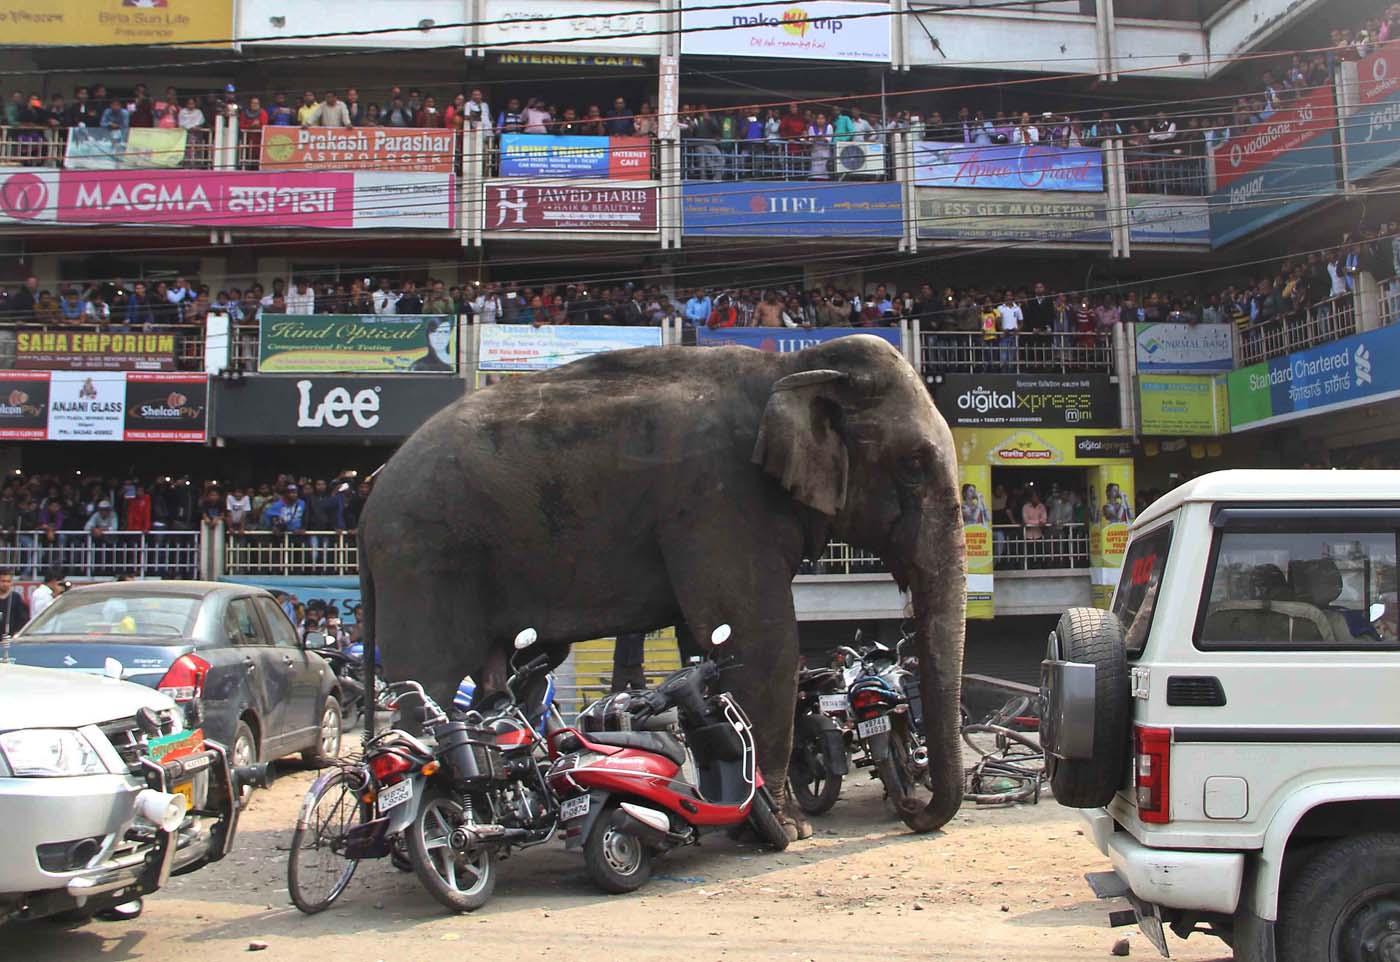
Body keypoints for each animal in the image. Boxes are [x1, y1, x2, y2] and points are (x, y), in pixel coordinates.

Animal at [361, 330, 968, 834]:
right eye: (914, 463)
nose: (910, 807)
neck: (789, 367)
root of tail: (371, 492)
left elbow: (707, 641)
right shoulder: (718, 497)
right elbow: (759, 637)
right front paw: (788, 828)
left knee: (507, 679)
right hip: (424, 557)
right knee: (430, 679)